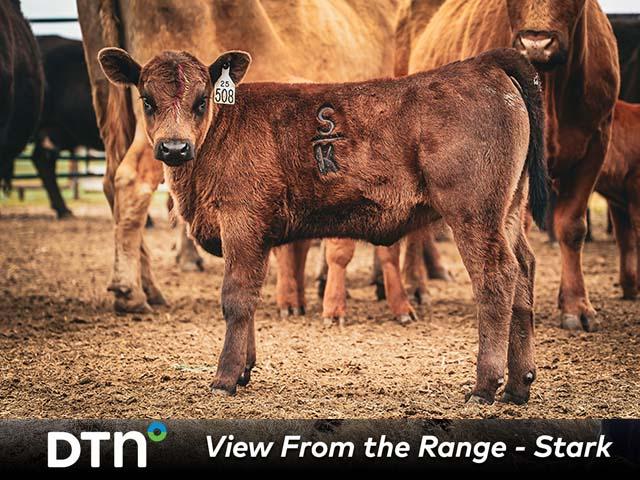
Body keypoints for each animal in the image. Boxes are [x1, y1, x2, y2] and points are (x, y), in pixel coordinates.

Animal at [98, 45, 547, 403]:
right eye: (147, 99)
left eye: (202, 99)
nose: (174, 148)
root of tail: (481, 64)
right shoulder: (256, 236)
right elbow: (252, 298)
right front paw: (244, 369)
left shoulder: (242, 221)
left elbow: (236, 297)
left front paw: (224, 378)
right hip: (509, 210)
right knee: (524, 270)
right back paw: (518, 385)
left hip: (474, 211)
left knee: (495, 277)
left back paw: (485, 387)